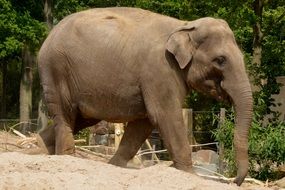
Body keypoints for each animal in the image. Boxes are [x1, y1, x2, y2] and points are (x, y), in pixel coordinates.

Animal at [36, 7, 252, 186]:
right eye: (220, 60)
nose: (235, 181)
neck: (183, 25)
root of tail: (49, 35)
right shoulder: (159, 70)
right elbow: (165, 116)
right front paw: (191, 175)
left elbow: (144, 122)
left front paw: (114, 165)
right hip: (55, 70)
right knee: (65, 115)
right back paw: (65, 156)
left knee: (78, 119)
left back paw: (40, 147)